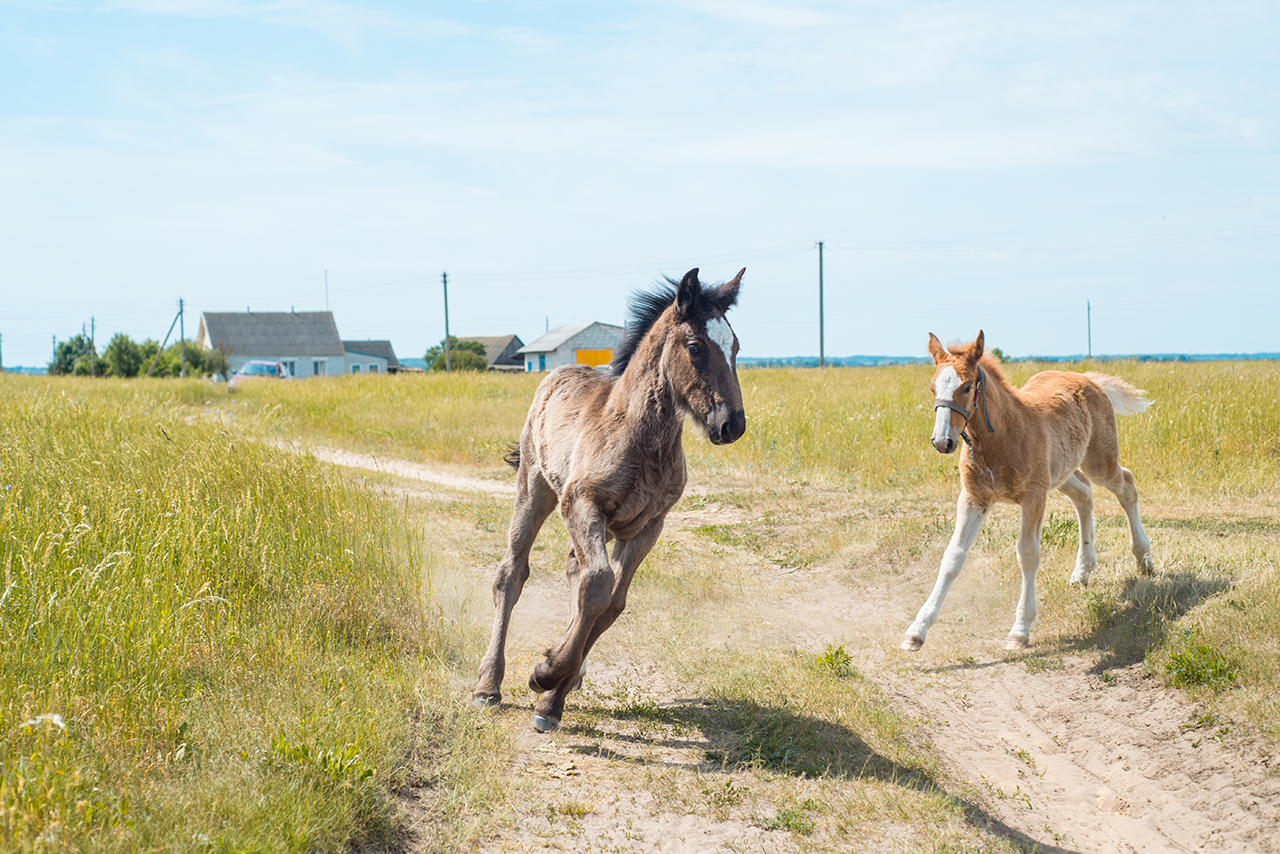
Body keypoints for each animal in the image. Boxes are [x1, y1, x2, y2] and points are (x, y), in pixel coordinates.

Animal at [476, 265, 747, 727]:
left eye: (737, 347)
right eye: (695, 347)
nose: (732, 424)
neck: (641, 440)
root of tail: (557, 372)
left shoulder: (647, 527)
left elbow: (612, 603)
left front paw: (553, 694)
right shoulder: (580, 502)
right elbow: (599, 584)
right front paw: (544, 674)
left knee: (574, 569)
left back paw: (571, 672)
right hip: (535, 488)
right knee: (512, 574)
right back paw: (488, 684)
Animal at [901, 330, 1162, 650]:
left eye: (966, 386)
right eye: (932, 387)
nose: (942, 441)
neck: (999, 439)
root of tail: (1088, 378)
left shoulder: (1034, 497)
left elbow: (1027, 554)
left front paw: (1020, 630)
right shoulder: (974, 498)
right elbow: (953, 556)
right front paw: (917, 630)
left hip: (1099, 462)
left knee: (1126, 485)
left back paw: (1143, 559)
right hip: (1061, 473)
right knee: (1084, 495)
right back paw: (1082, 571)